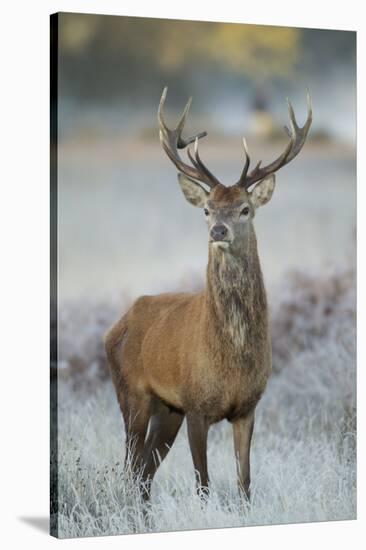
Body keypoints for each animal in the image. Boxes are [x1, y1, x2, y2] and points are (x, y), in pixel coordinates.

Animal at [105, 87, 312, 504]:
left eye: (245, 208)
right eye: (206, 209)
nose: (218, 230)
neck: (230, 362)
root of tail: (115, 326)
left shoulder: (247, 407)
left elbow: (245, 483)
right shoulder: (196, 405)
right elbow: (203, 484)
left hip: (167, 410)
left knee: (144, 472)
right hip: (131, 392)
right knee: (131, 467)